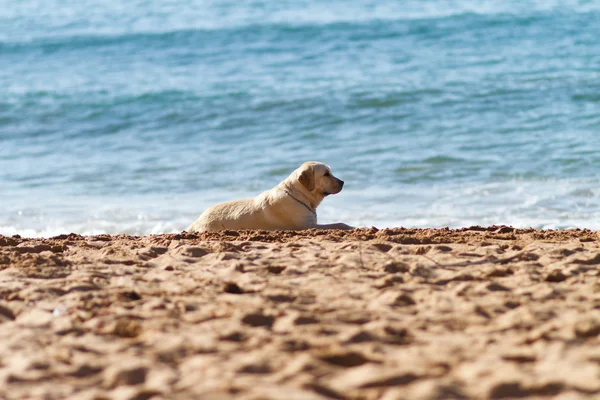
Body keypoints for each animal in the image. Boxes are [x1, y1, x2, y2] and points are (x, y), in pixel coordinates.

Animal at [188, 161, 354, 233]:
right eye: (326, 174)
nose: (342, 182)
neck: (298, 195)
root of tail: (196, 221)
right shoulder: (307, 226)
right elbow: (339, 223)